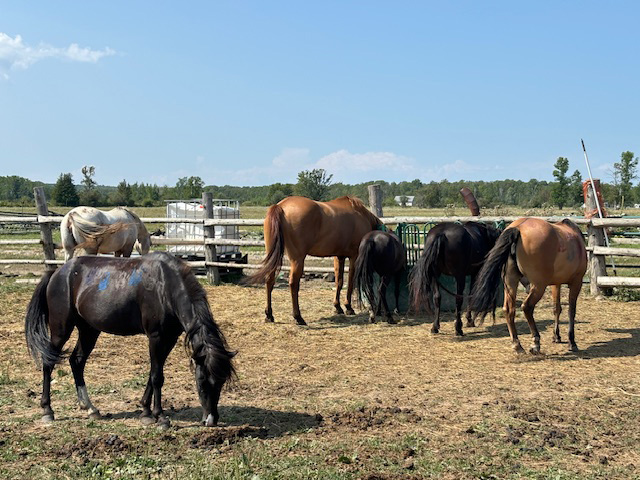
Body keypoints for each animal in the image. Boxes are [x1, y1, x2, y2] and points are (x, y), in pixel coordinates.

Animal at [24, 252, 236, 427]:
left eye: (221, 382)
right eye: (202, 381)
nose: (211, 420)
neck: (166, 286)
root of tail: (57, 272)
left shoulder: (169, 338)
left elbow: (153, 374)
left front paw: (146, 412)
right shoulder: (156, 337)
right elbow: (157, 377)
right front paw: (160, 417)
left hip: (89, 330)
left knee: (77, 361)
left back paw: (90, 408)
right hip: (61, 329)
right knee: (48, 363)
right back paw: (47, 411)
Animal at [245, 196, 382, 325]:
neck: (362, 216)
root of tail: (280, 206)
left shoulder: (339, 257)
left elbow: (339, 282)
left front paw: (338, 307)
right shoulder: (354, 256)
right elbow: (351, 282)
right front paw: (348, 307)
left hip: (273, 256)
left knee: (269, 280)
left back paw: (269, 315)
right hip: (297, 259)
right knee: (293, 284)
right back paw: (298, 317)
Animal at [470, 218, 587, 354]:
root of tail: (518, 228)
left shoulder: (556, 284)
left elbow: (556, 308)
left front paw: (556, 336)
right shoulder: (576, 282)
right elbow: (571, 311)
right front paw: (572, 342)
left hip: (510, 283)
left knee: (509, 310)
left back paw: (517, 345)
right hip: (538, 286)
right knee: (527, 307)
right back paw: (535, 342)